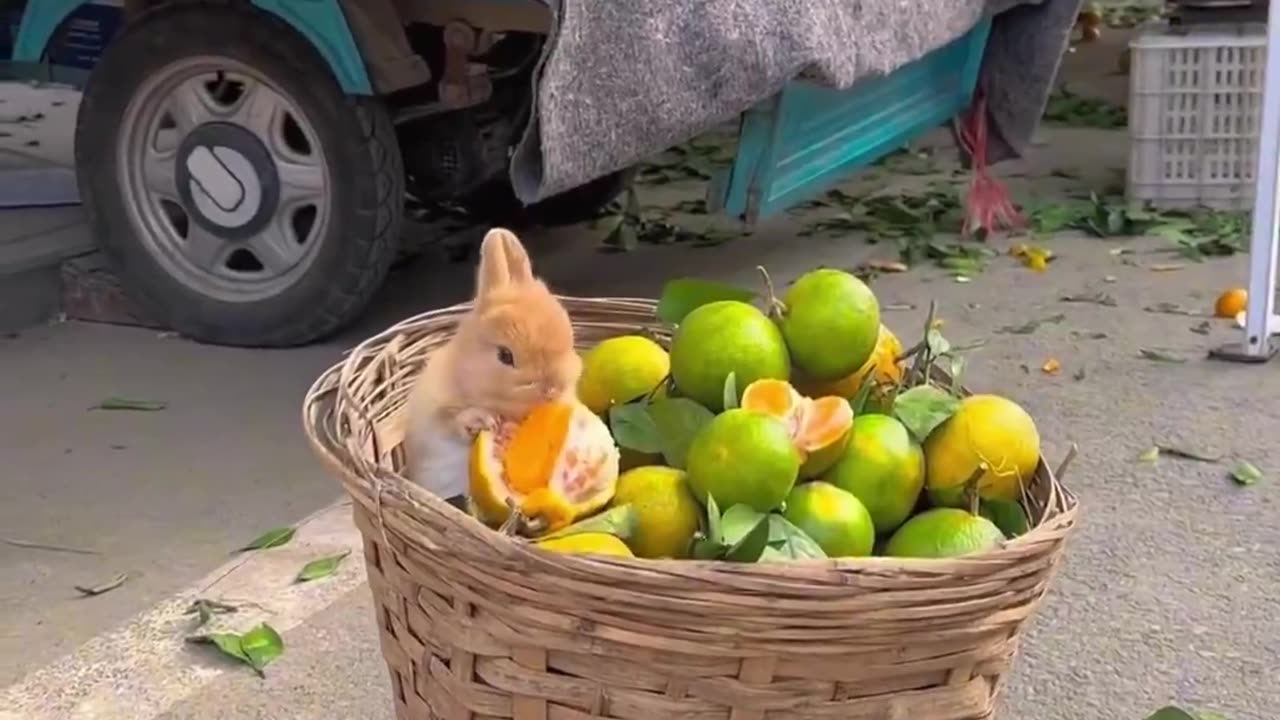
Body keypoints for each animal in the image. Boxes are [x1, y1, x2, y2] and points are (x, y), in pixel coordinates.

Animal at [404, 226, 581, 497]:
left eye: (569, 337)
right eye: (505, 356)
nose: (553, 390)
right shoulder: (434, 416)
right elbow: (452, 421)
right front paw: (483, 421)